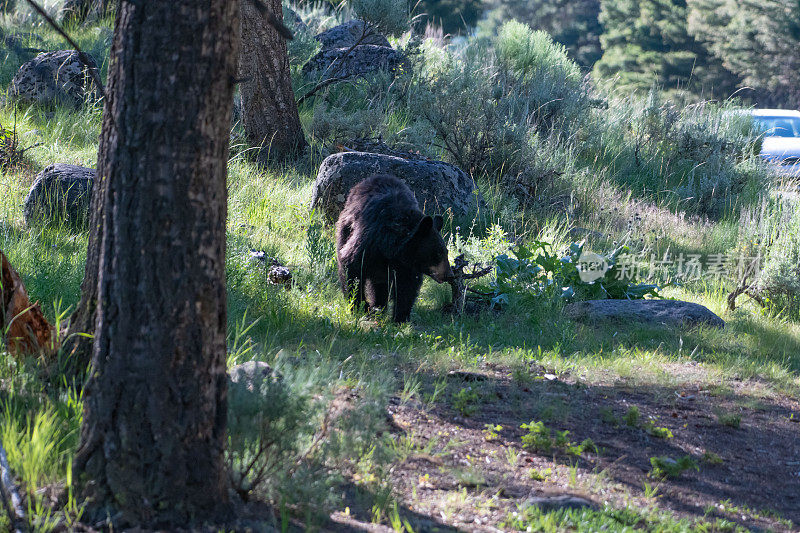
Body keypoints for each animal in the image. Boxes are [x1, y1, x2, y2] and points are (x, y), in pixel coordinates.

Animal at [334, 175, 454, 322]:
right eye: (437, 253)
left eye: (446, 252)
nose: (450, 275)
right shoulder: (367, 243)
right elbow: (352, 268)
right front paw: (359, 306)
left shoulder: (407, 267)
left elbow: (407, 287)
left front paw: (400, 317)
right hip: (345, 229)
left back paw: (379, 306)